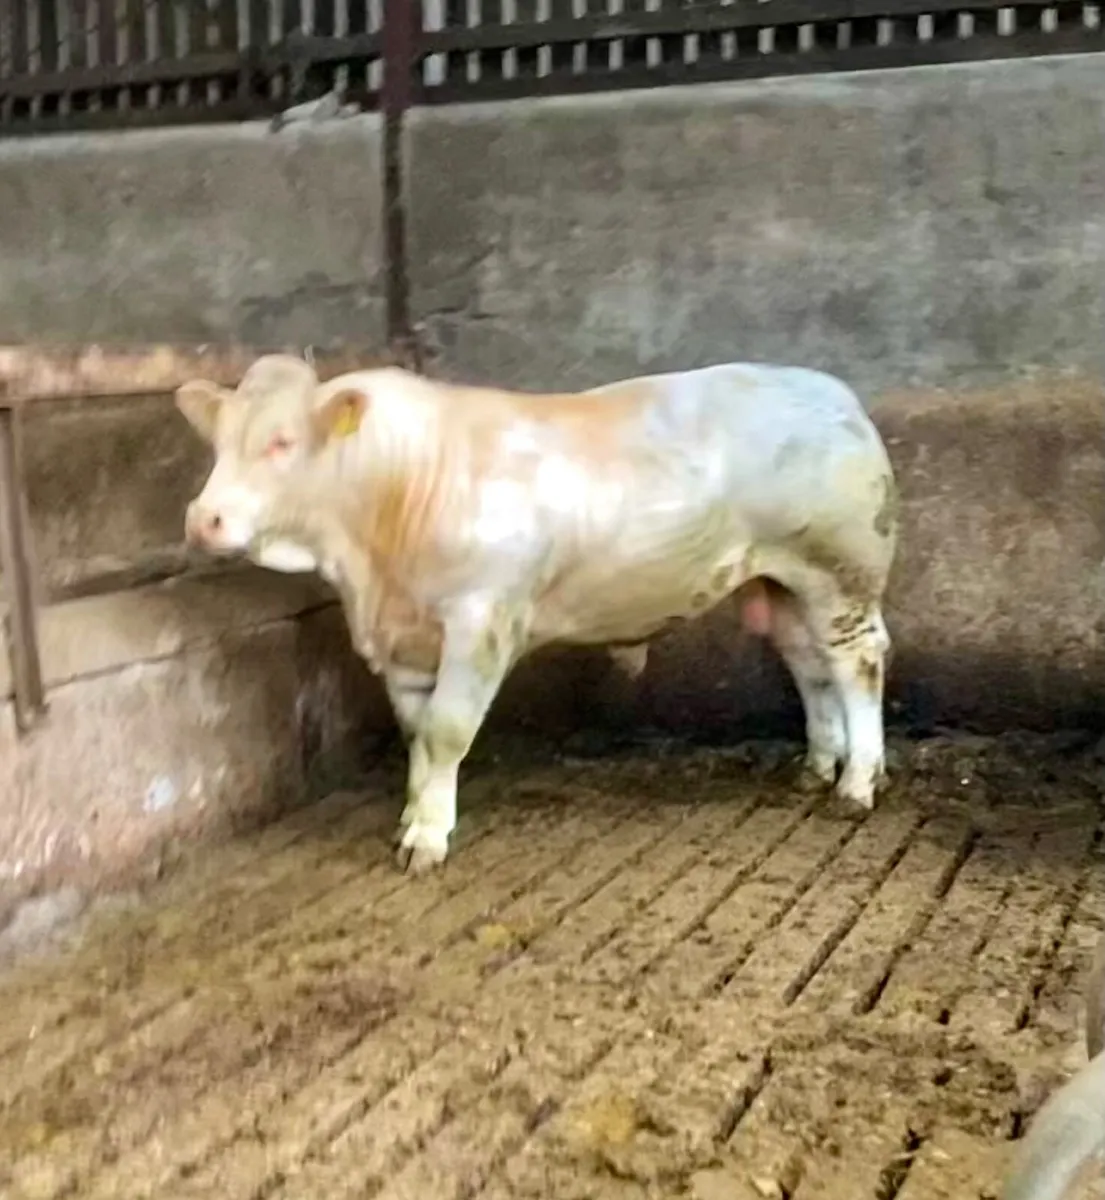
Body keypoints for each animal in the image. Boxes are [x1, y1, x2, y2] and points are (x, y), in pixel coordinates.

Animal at [176, 354, 899, 874]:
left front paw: (428, 839)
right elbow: (416, 733)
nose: (202, 520)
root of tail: (835, 393)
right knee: (809, 664)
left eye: (281, 442)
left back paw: (858, 782)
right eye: (217, 444)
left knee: (857, 663)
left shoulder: (480, 619)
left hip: (842, 571)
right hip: (782, 582)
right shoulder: (403, 641)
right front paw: (413, 814)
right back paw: (817, 766)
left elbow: (446, 731)